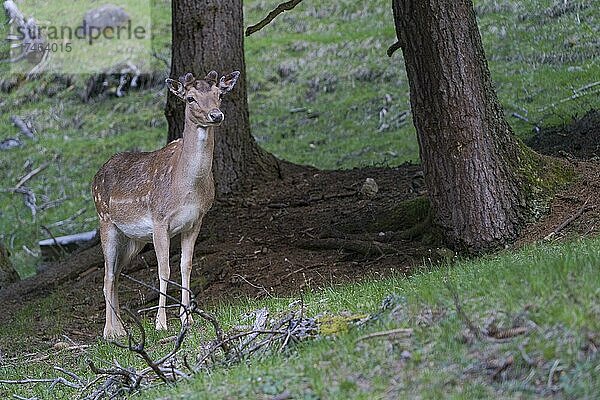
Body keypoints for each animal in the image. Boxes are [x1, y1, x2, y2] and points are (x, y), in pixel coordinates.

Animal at [91, 69, 239, 338]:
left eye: (219, 94)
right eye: (190, 98)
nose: (216, 115)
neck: (187, 187)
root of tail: (95, 176)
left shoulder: (196, 221)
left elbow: (186, 265)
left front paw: (187, 317)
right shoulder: (160, 220)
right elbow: (164, 270)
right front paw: (161, 323)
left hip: (134, 240)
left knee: (116, 275)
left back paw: (121, 328)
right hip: (105, 221)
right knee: (106, 277)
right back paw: (110, 332)